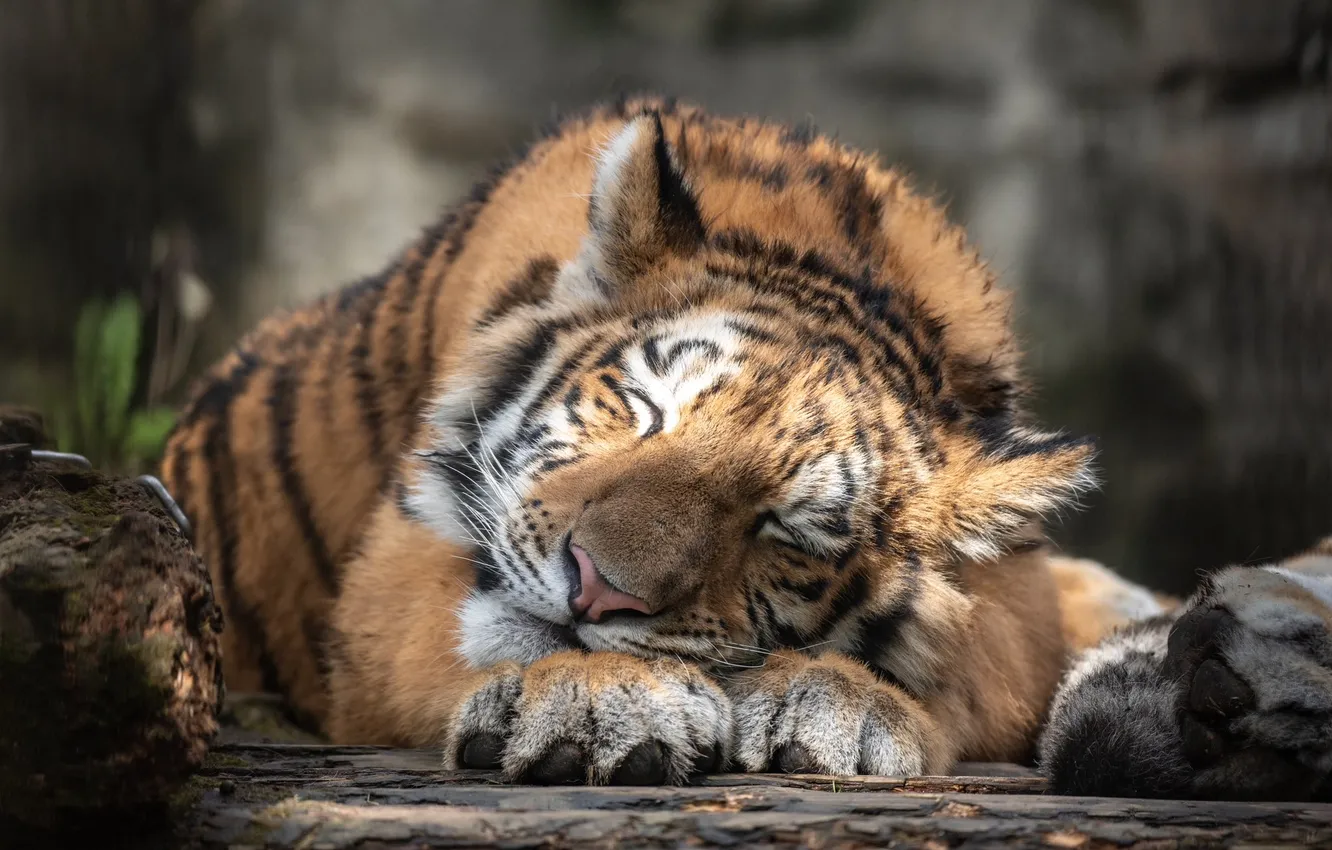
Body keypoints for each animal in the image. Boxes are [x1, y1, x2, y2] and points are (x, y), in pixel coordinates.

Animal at [161, 95, 1332, 798]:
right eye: (643, 408)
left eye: (784, 530)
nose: (595, 589)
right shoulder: (392, 571)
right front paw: (599, 697)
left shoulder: (1013, 591)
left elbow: (973, 664)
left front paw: (846, 703)